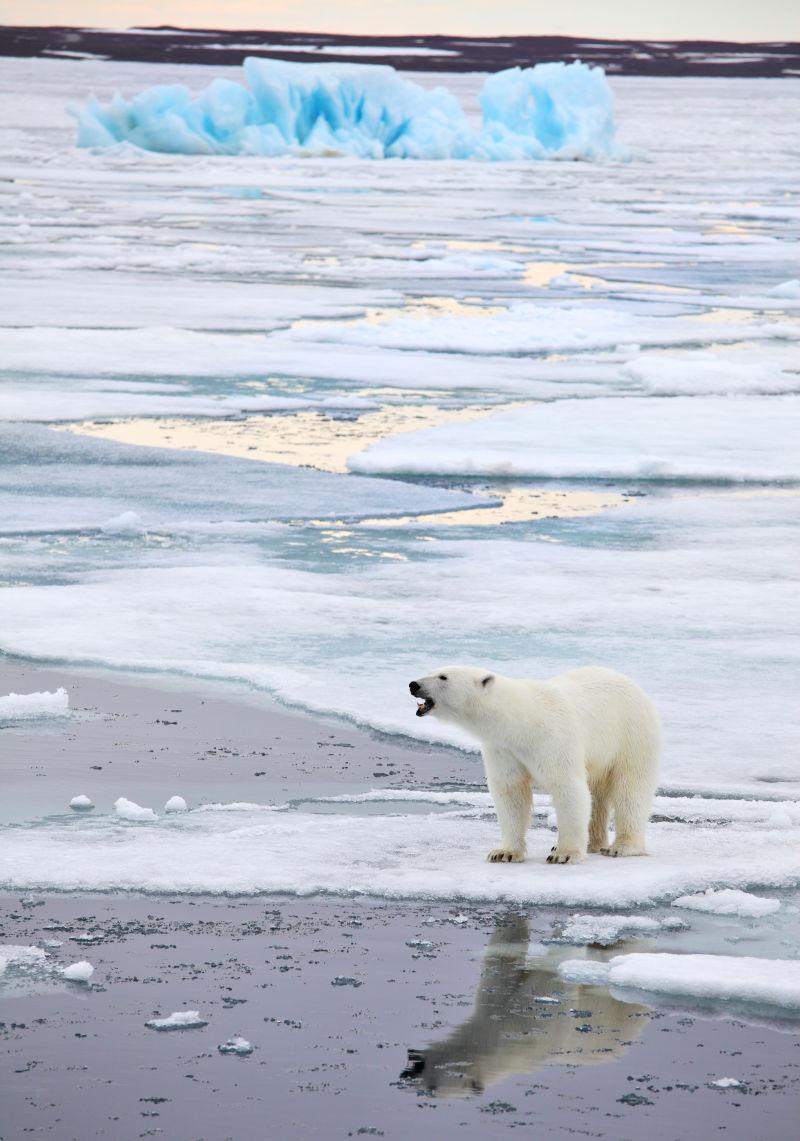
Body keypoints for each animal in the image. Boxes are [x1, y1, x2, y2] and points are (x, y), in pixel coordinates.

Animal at [408, 666, 657, 858]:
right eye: (431, 671)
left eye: (443, 677)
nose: (413, 684)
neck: (522, 721)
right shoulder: (503, 748)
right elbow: (511, 792)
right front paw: (504, 852)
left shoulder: (553, 739)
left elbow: (567, 787)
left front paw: (564, 854)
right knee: (597, 794)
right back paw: (592, 843)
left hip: (631, 734)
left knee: (630, 789)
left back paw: (622, 847)